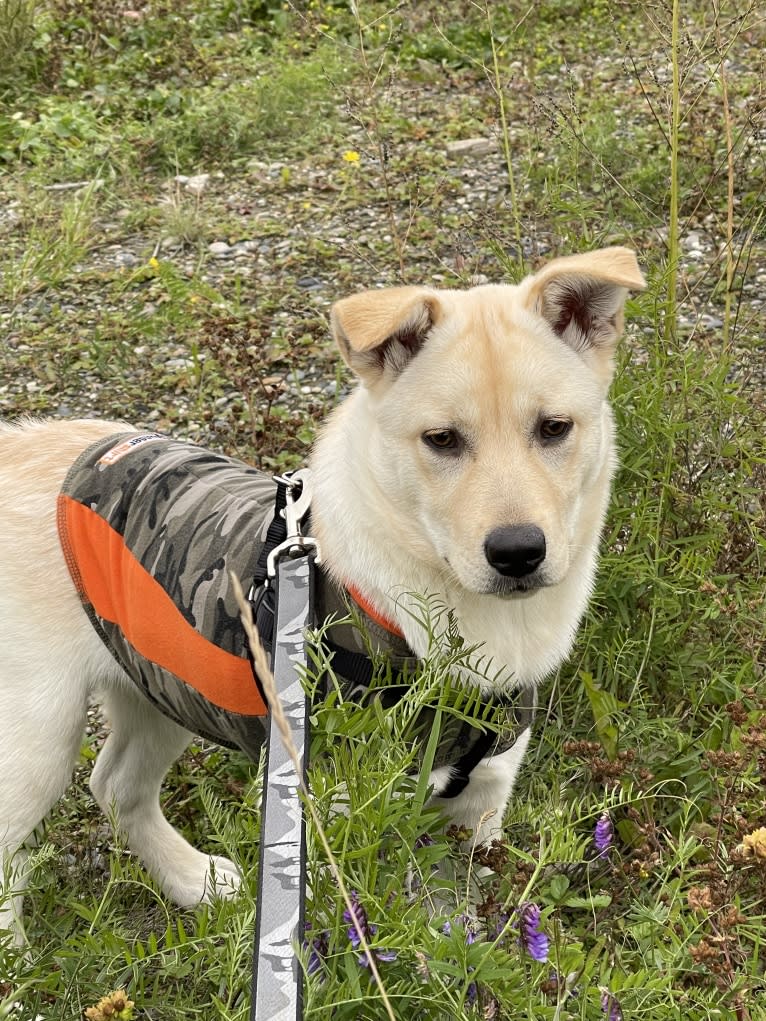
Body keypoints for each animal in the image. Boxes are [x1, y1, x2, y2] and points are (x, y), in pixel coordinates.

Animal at [0, 245, 649, 935]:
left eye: (554, 428)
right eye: (441, 439)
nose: (519, 551)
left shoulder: (483, 801)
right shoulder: (332, 814)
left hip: (164, 680)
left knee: (117, 785)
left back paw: (194, 882)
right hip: (39, 735)